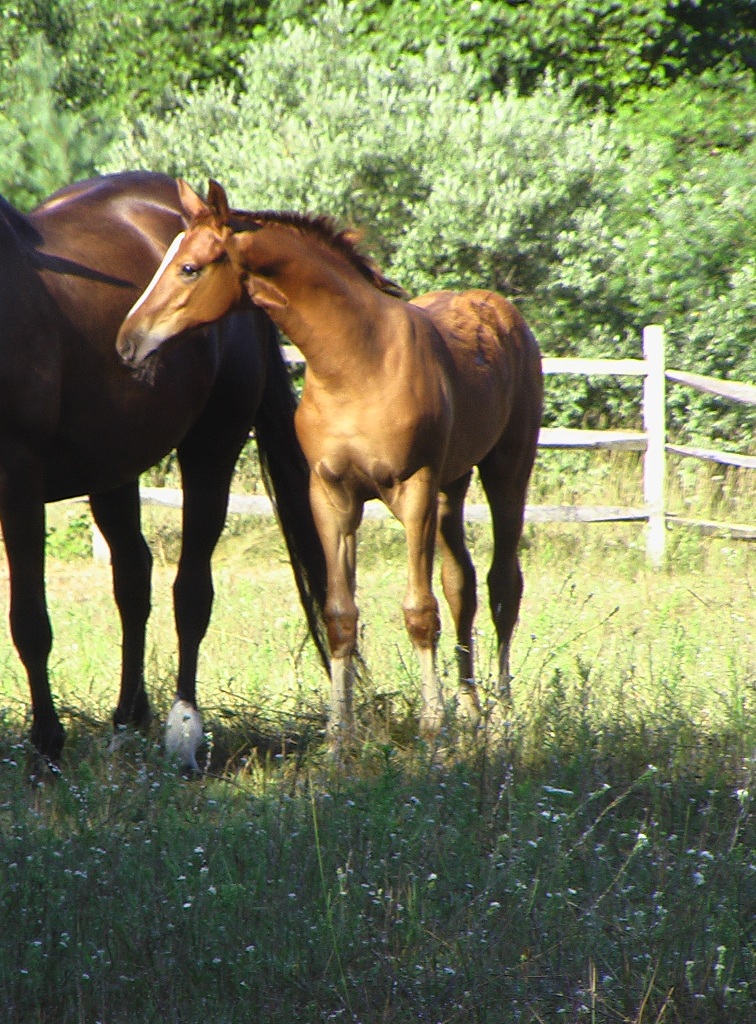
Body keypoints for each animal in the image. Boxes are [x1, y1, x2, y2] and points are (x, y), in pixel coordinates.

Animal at [2, 176, 327, 770]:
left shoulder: (19, 483)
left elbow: (29, 623)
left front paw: (46, 748)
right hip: (112, 470)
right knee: (133, 581)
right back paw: (127, 723)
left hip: (211, 449)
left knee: (190, 592)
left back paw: (184, 732)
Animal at [117, 178, 540, 753]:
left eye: (189, 268)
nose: (127, 342)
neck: (358, 363)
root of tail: (500, 310)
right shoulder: (331, 494)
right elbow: (341, 615)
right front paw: (340, 738)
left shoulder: (414, 490)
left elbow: (419, 611)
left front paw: (432, 730)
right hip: (452, 486)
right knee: (463, 586)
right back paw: (472, 711)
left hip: (506, 472)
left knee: (502, 587)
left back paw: (501, 718)